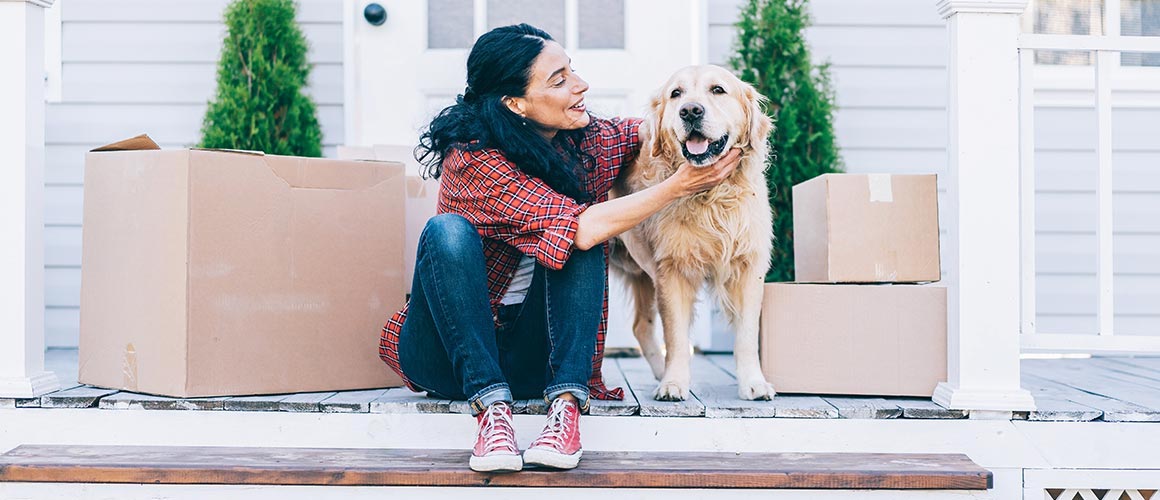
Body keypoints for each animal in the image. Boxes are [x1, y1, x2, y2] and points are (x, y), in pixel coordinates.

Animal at [612, 65, 774, 403]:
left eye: (718, 90)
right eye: (676, 94)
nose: (690, 111)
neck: (711, 197)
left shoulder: (749, 268)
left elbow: (747, 334)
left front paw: (753, 383)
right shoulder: (671, 271)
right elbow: (675, 336)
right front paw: (674, 383)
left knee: (641, 326)